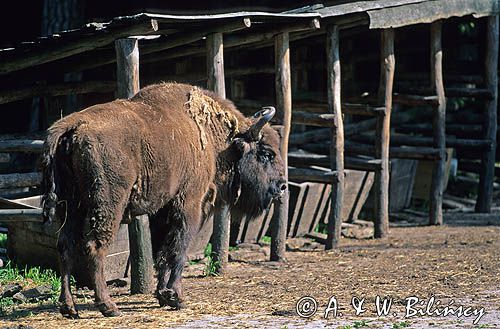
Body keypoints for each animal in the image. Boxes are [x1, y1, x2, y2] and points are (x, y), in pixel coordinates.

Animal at [42, 82, 286, 318]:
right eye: (267, 154)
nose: (282, 186)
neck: (215, 140)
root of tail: (73, 124)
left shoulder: (162, 211)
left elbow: (162, 250)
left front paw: (162, 295)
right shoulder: (189, 204)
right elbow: (179, 249)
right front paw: (176, 298)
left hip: (71, 206)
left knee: (65, 245)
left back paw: (69, 308)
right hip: (107, 204)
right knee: (95, 246)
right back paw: (109, 307)